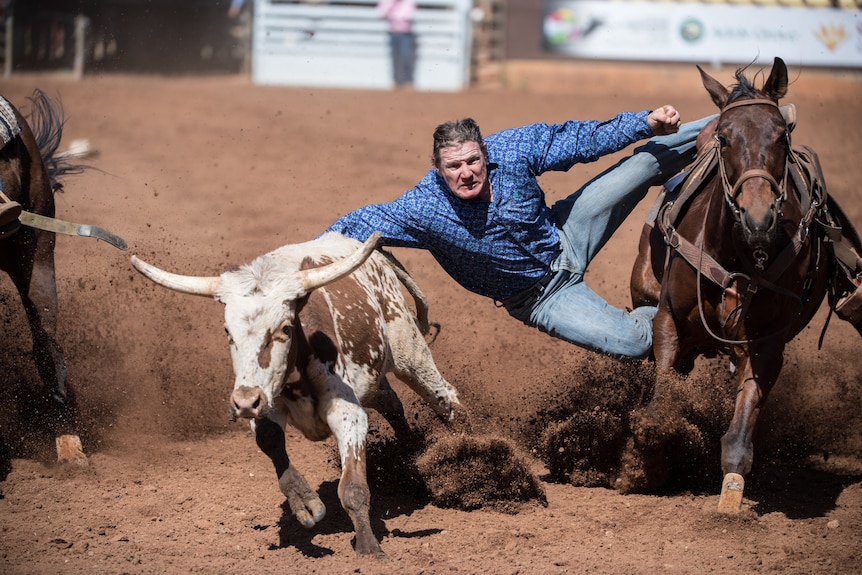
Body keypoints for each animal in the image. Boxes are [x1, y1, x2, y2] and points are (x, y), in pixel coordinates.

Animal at [628, 56, 862, 510]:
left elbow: (740, 434)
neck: (739, 255)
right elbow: (658, 411)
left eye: (782, 136)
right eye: (723, 138)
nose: (758, 219)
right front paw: (639, 465)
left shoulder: (767, 343)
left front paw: (729, 501)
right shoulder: (668, 320)